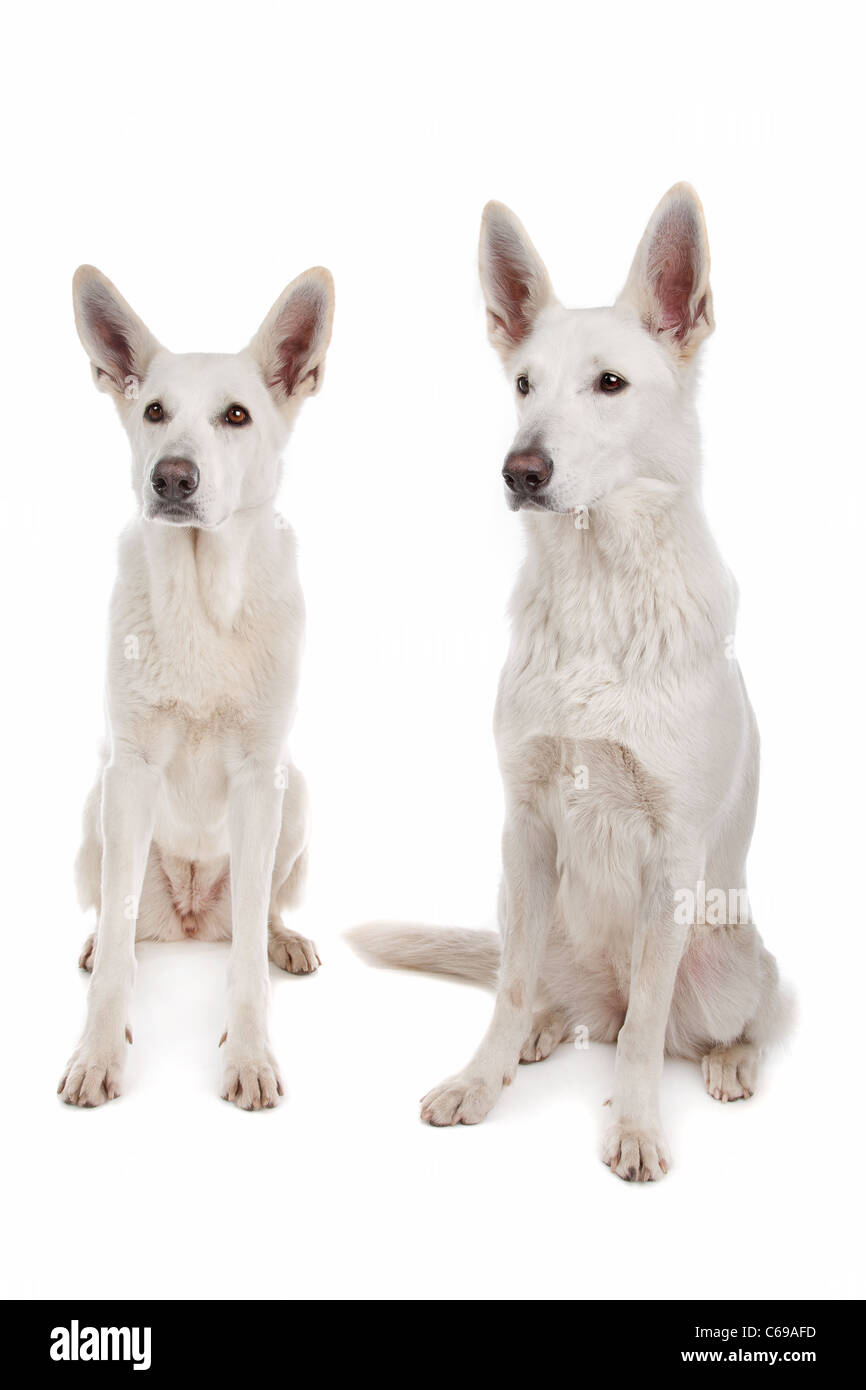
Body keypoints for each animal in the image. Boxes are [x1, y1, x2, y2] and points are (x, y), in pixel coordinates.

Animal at [58, 261, 335, 1106]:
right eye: (154, 411)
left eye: (236, 416)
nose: (172, 477)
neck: (202, 606)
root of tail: (184, 918)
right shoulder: (132, 770)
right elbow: (118, 952)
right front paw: (97, 1049)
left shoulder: (257, 778)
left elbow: (244, 959)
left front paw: (248, 1053)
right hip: (99, 803)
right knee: (116, 918)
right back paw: (98, 943)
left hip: (293, 796)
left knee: (258, 913)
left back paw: (284, 940)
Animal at [353, 184, 795, 1178]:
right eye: (523, 385)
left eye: (611, 385)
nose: (521, 470)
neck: (598, 597)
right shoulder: (522, 827)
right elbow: (509, 990)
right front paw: (481, 1080)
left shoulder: (673, 853)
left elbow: (644, 1035)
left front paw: (633, 1124)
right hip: (533, 914)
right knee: (559, 999)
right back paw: (542, 1034)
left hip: (730, 961)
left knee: (730, 1016)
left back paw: (729, 1064)